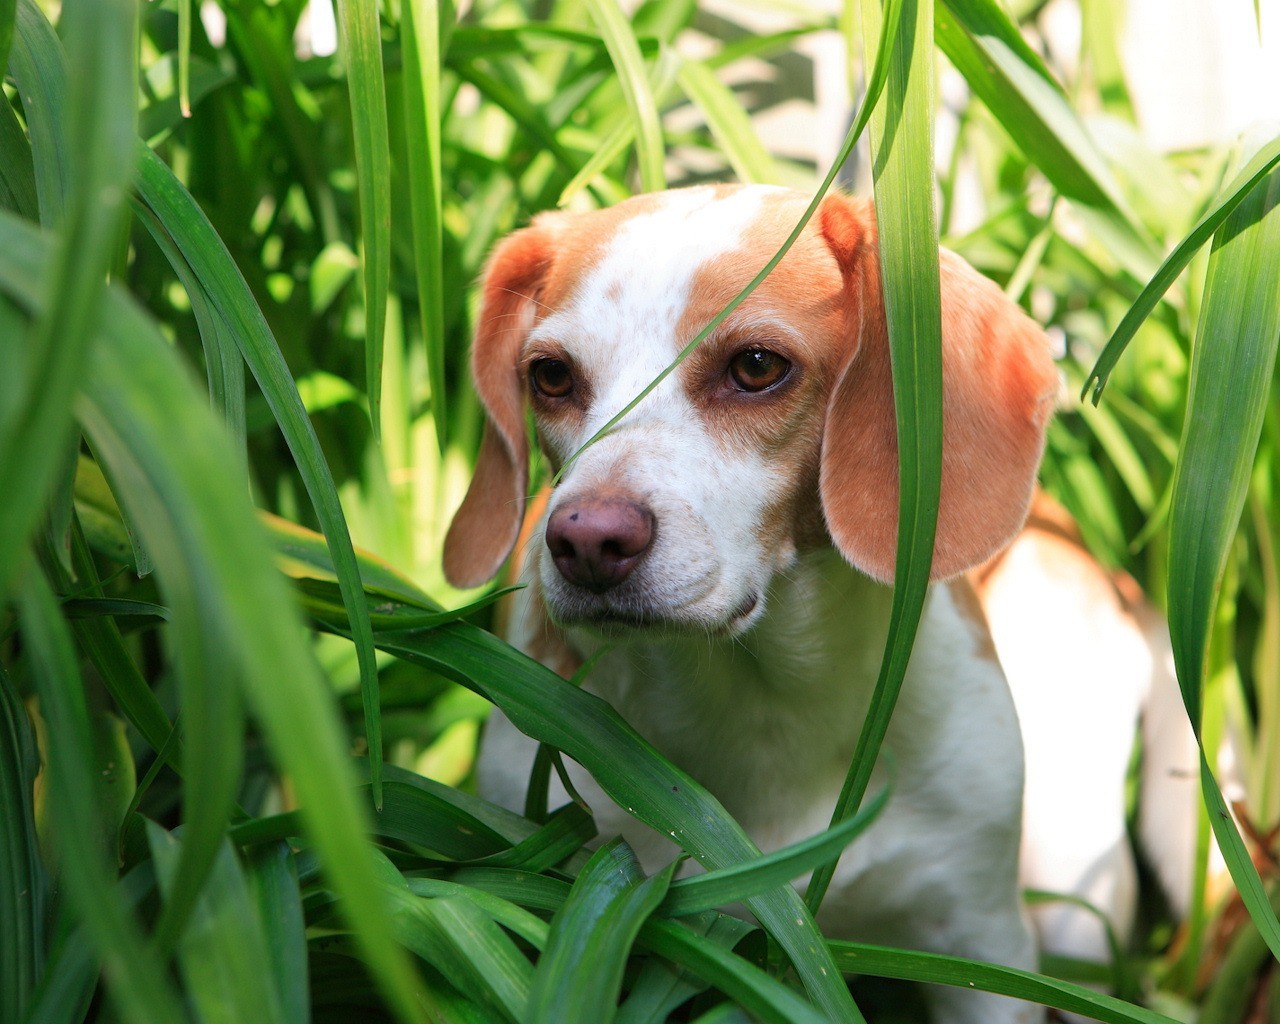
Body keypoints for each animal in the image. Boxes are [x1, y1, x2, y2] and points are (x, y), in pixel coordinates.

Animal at [442, 185, 1198, 1024]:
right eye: (550, 376)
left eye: (756, 366)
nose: (585, 541)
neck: (766, 703)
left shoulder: (982, 947)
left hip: (1075, 901)